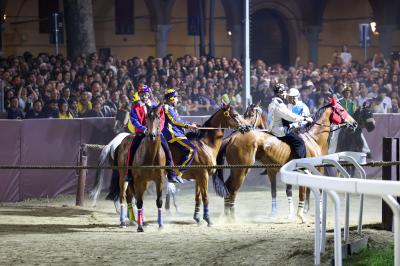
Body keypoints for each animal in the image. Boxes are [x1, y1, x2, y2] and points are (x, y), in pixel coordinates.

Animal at [116, 102, 166, 231]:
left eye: (158, 117)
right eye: (147, 118)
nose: (152, 135)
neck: (151, 155)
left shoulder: (159, 180)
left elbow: (159, 201)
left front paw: (160, 225)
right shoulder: (138, 180)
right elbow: (139, 202)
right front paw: (140, 227)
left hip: (144, 183)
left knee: (130, 196)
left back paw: (137, 220)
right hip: (123, 177)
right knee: (123, 196)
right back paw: (123, 222)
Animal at [214, 97, 358, 222]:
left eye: (250, 114)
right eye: (341, 110)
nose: (354, 123)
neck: (313, 139)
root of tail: (232, 138)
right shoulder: (308, 171)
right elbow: (304, 192)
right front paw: (301, 215)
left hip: (235, 170)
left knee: (228, 187)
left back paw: (227, 216)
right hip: (241, 170)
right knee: (232, 190)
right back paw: (232, 218)